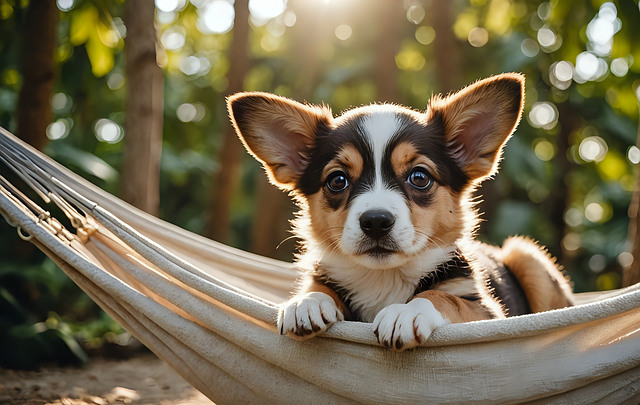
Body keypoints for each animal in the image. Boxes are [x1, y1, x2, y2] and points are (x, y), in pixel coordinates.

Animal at [228, 73, 572, 350]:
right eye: (337, 180)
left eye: (419, 177)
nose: (376, 222)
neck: (385, 278)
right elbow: (318, 287)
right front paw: (306, 301)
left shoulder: (487, 312)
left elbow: (442, 297)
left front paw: (407, 311)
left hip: (526, 255)